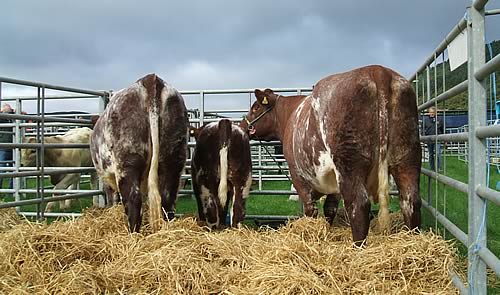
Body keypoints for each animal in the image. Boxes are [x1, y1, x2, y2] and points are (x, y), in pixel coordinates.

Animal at [90, 74, 188, 234]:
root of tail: (150, 79)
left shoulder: (108, 179)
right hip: (174, 157)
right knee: (168, 198)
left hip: (128, 161)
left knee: (133, 200)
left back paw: (133, 234)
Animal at [240, 66, 420, 244]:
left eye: (255, 107)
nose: (242, 125)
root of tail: (378, 70)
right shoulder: (333, 185)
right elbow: (330, 209)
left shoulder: (298, 176)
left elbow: (310, 209)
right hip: (407, 156)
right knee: (410, 200)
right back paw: (412, 238)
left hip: (348, 163)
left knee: (358, 204)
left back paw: (358, 246)